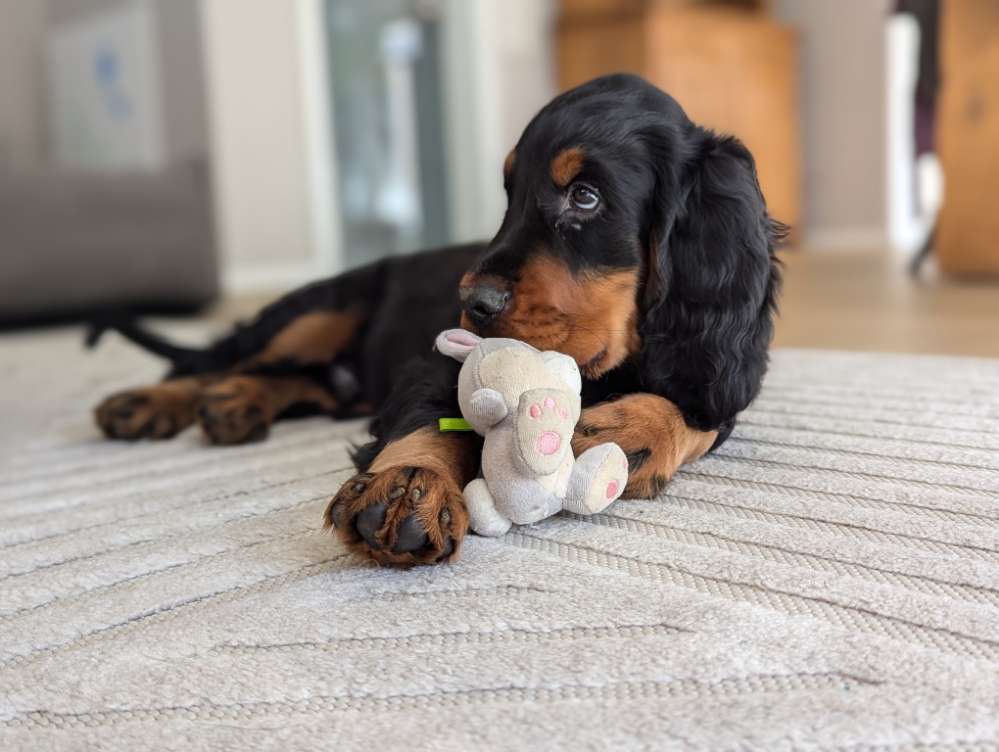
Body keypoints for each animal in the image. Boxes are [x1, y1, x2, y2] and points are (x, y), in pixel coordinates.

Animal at [92, 76, 780, 568]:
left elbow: (701, 415)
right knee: (225, 357)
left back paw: (236, 403)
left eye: (585, 197)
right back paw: (153, 402)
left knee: (299, 380)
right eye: (510, 193)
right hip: (321, 310)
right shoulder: (437, 358)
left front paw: (633, 430)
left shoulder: (718, 362)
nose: (474, 302)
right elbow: (430, 414)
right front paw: (409, 484)